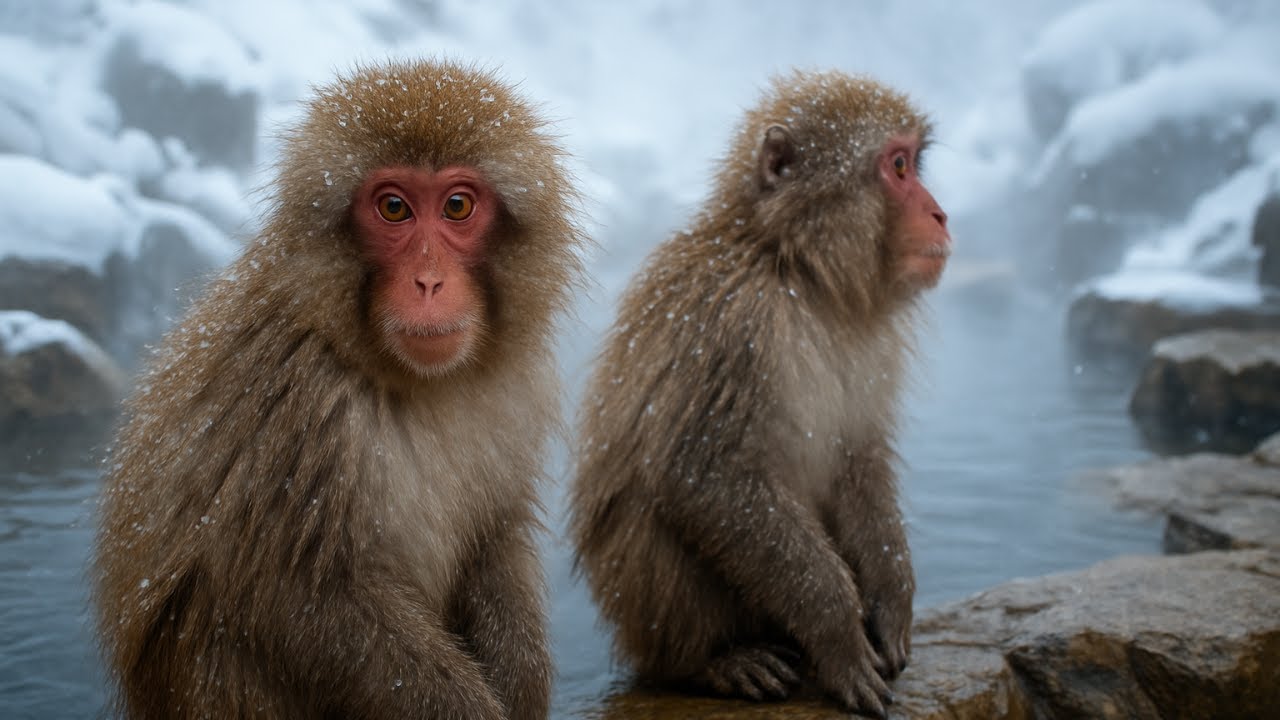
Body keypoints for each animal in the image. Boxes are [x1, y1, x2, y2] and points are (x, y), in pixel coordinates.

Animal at [92, 59, 584, 720]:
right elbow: (295, 598)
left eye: (457, 205)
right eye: (394, 208)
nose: (429, 281)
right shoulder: (291, 400)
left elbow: (494, 536)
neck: (402, 377)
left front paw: (522, 678)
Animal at [569, 70, 949, 719]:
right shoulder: (729, 321)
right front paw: (839, 636)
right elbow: (705, 478)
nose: (940, 213)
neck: (795, 270)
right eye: (898, 167)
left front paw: (893, 596)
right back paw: (712, 662)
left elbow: (859, 457)